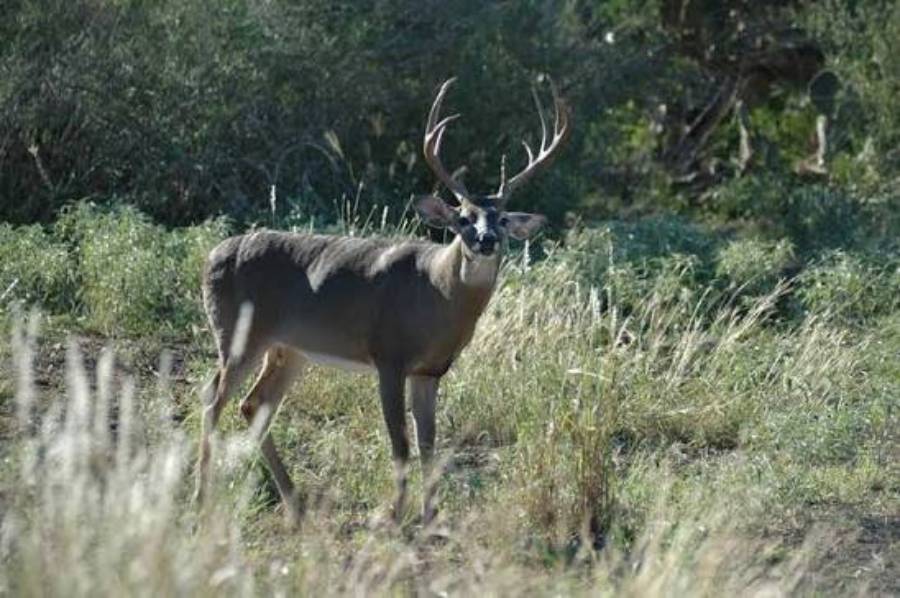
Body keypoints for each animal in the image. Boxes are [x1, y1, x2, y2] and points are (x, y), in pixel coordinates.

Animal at [194, 77, 570, 525]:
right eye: (463, 217)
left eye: (503, 218)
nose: (486, 239)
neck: (436, 294)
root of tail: (211, 256)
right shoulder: (389, 355)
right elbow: (400, 444)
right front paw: (394, 517)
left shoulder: (430, 370)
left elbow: (429, 446)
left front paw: (430, 517)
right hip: (238, 334)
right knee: (213, 400)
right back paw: (201, 498)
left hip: (289, 349)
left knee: (253, 405)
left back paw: (294, 504)